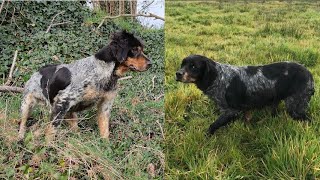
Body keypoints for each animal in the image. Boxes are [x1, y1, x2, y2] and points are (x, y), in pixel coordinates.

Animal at [18, 30, 151, 141]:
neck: (105, 71)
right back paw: (20, 137)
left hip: (70, 112)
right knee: (23, 123)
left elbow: (105, 131)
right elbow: (51, 131)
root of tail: (37, 71)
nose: (151, 63)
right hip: (27, 104)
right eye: (135, 49)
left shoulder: (105, 105)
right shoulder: (62, 102)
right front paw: (48, 147)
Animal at [176, 54, 314, 135]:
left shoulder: (231, 111)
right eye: (182, 64)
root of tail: (309, 74)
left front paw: (206, 136)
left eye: (193, 66)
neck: (218, 77)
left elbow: (213, 125)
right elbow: (247, 119)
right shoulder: (246, 108)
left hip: (295, 107)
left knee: (308, 120)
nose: (178, 73)